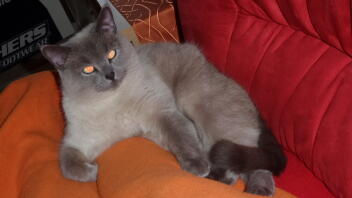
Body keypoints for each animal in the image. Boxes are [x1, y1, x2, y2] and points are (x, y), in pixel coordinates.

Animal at [40, 6, 286, 196]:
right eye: (88, 69)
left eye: (111, 54)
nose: (110, 75)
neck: (111, 101)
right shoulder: (78, 141)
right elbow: (67, 164)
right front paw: (93, 172)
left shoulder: (162, 113)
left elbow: (182, 139)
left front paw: (197, 167)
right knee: (237, 168)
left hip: (195, 101)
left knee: (251, 158)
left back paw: (256, 190)